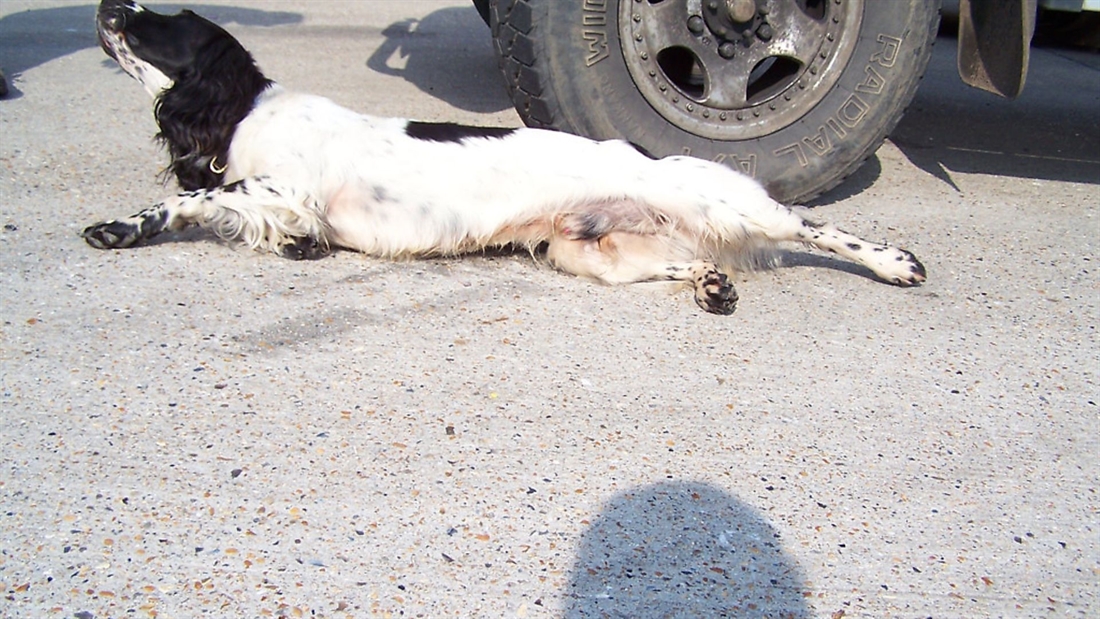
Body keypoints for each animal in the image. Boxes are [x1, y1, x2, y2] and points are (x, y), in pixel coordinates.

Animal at [81, 1, 924, 314]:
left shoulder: (285, 188)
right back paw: (712, 282)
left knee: (812, 225)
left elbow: (188, 198)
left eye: (157, 21)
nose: (108, 4)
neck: (249, 110)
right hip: (590, 252)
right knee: (689, 260)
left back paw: (896, 262)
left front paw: (119, 228)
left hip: (721, 200)